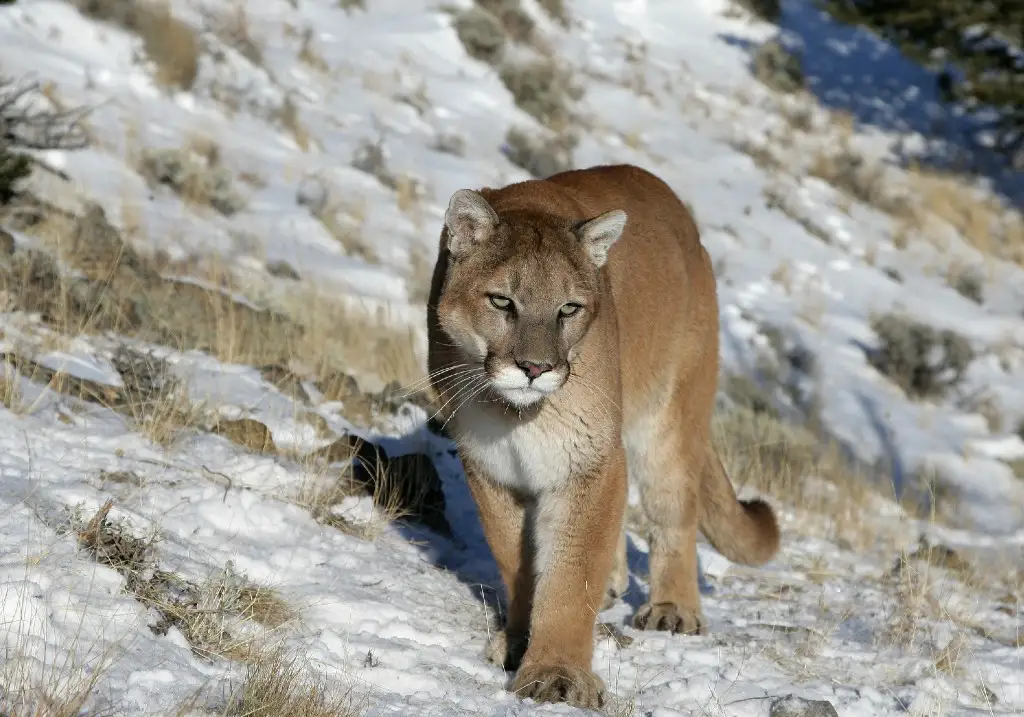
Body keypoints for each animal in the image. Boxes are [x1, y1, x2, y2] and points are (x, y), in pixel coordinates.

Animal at [426, 163, 780, 709]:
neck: (514, 414)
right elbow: (515, 558)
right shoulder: (490, 465)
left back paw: (673, 609)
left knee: (672, 510)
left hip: (668, 419)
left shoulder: (589, 459)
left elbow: (573, 572)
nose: (535, 368)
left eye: (569, 309)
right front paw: (520, 639)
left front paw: (557, 673)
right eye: (503, 301)